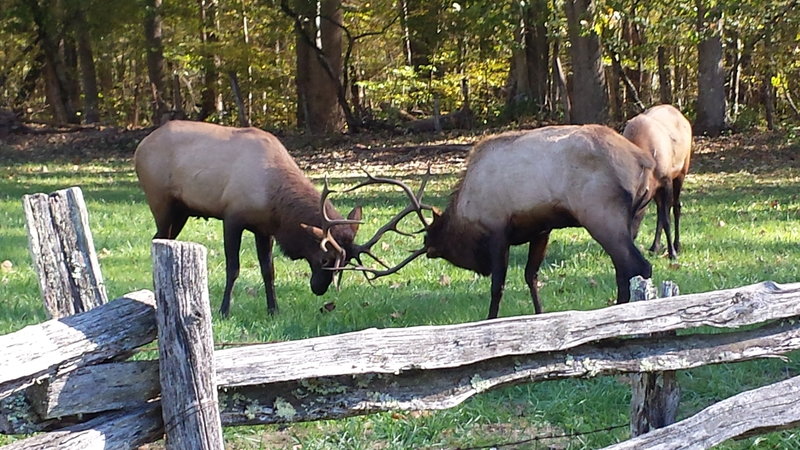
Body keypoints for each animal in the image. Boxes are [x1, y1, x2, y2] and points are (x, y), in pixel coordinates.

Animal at [135, 119, 362, 316]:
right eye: (325, 258)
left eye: (346, 262)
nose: (318, 289)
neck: (272, 196)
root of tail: (140, 148)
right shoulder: (232, 217)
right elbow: (233, 268)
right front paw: (224, 310)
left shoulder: (264, 229)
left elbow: (268, 270)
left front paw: (273, 309)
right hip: (160, 202)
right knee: (157, 239)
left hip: (181, 211)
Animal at [350, 125, 656, 318]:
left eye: (434, 240)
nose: (428, 247)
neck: (466, 210)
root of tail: (643, 162)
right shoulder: (542, 229)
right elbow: (531, 275)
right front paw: (539, 315)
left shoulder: (497, 229)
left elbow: (497, 286)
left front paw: (490, 320)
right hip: (632, 219)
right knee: (623, 269)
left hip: (600, 214)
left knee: (637, 266)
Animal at [620, 103, 692, 258]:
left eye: (635, 217)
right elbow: (662, 215)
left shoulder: (667, 180)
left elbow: (667, 219)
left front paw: (672, 253)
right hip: (657, 190)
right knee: (660, 211)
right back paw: (655, 246)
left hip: (682, 171)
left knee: (676, 206)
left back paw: (677, 245)